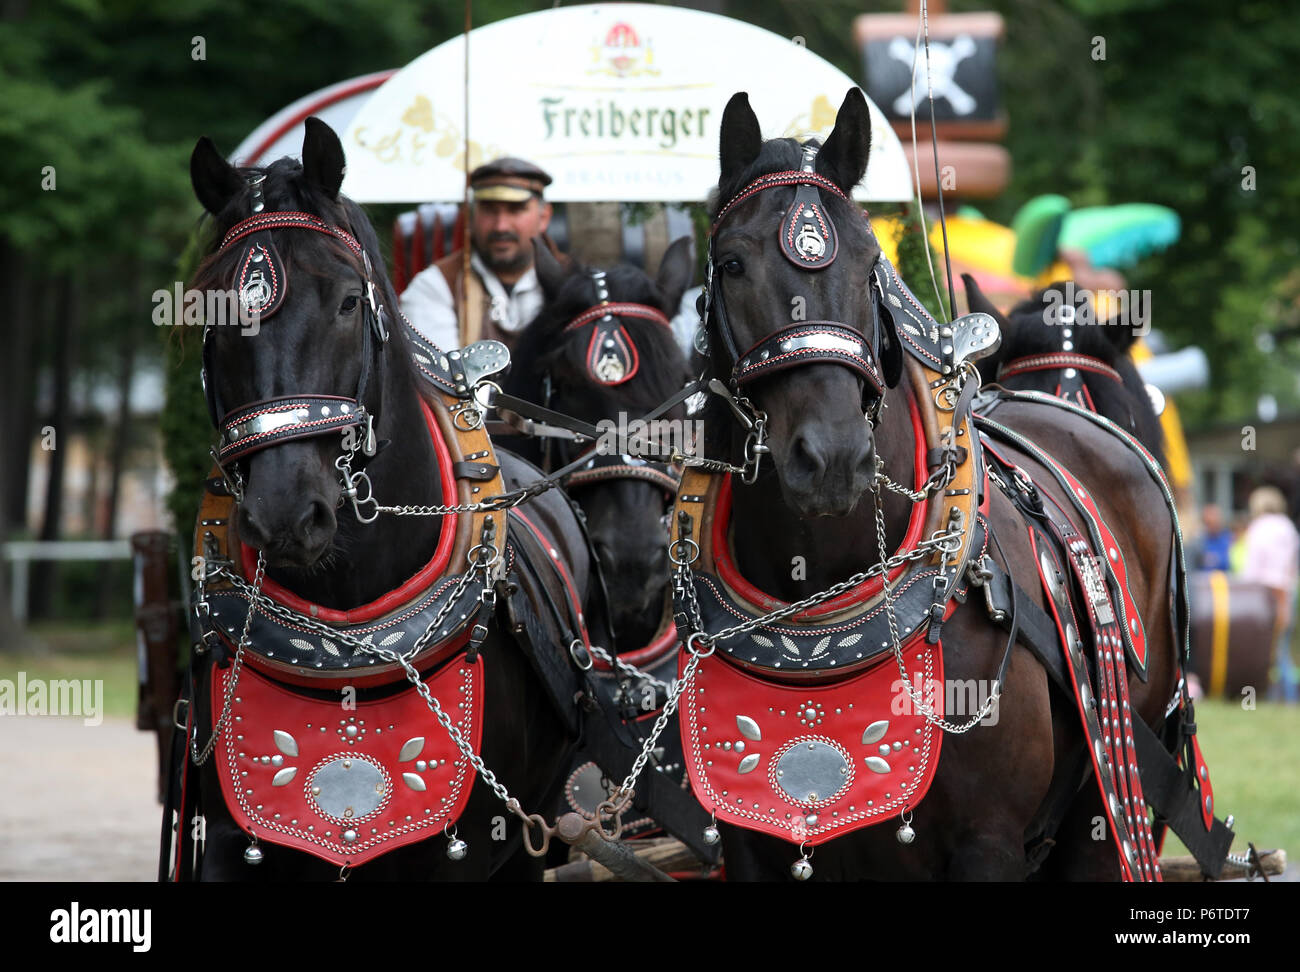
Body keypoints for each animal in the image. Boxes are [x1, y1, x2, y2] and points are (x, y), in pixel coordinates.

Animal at [691, 92, 1190, 878]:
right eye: (733, 262)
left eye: (871, 263)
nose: (833, 457)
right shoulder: (749, 842)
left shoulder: (989, 844)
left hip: (1109, 811)